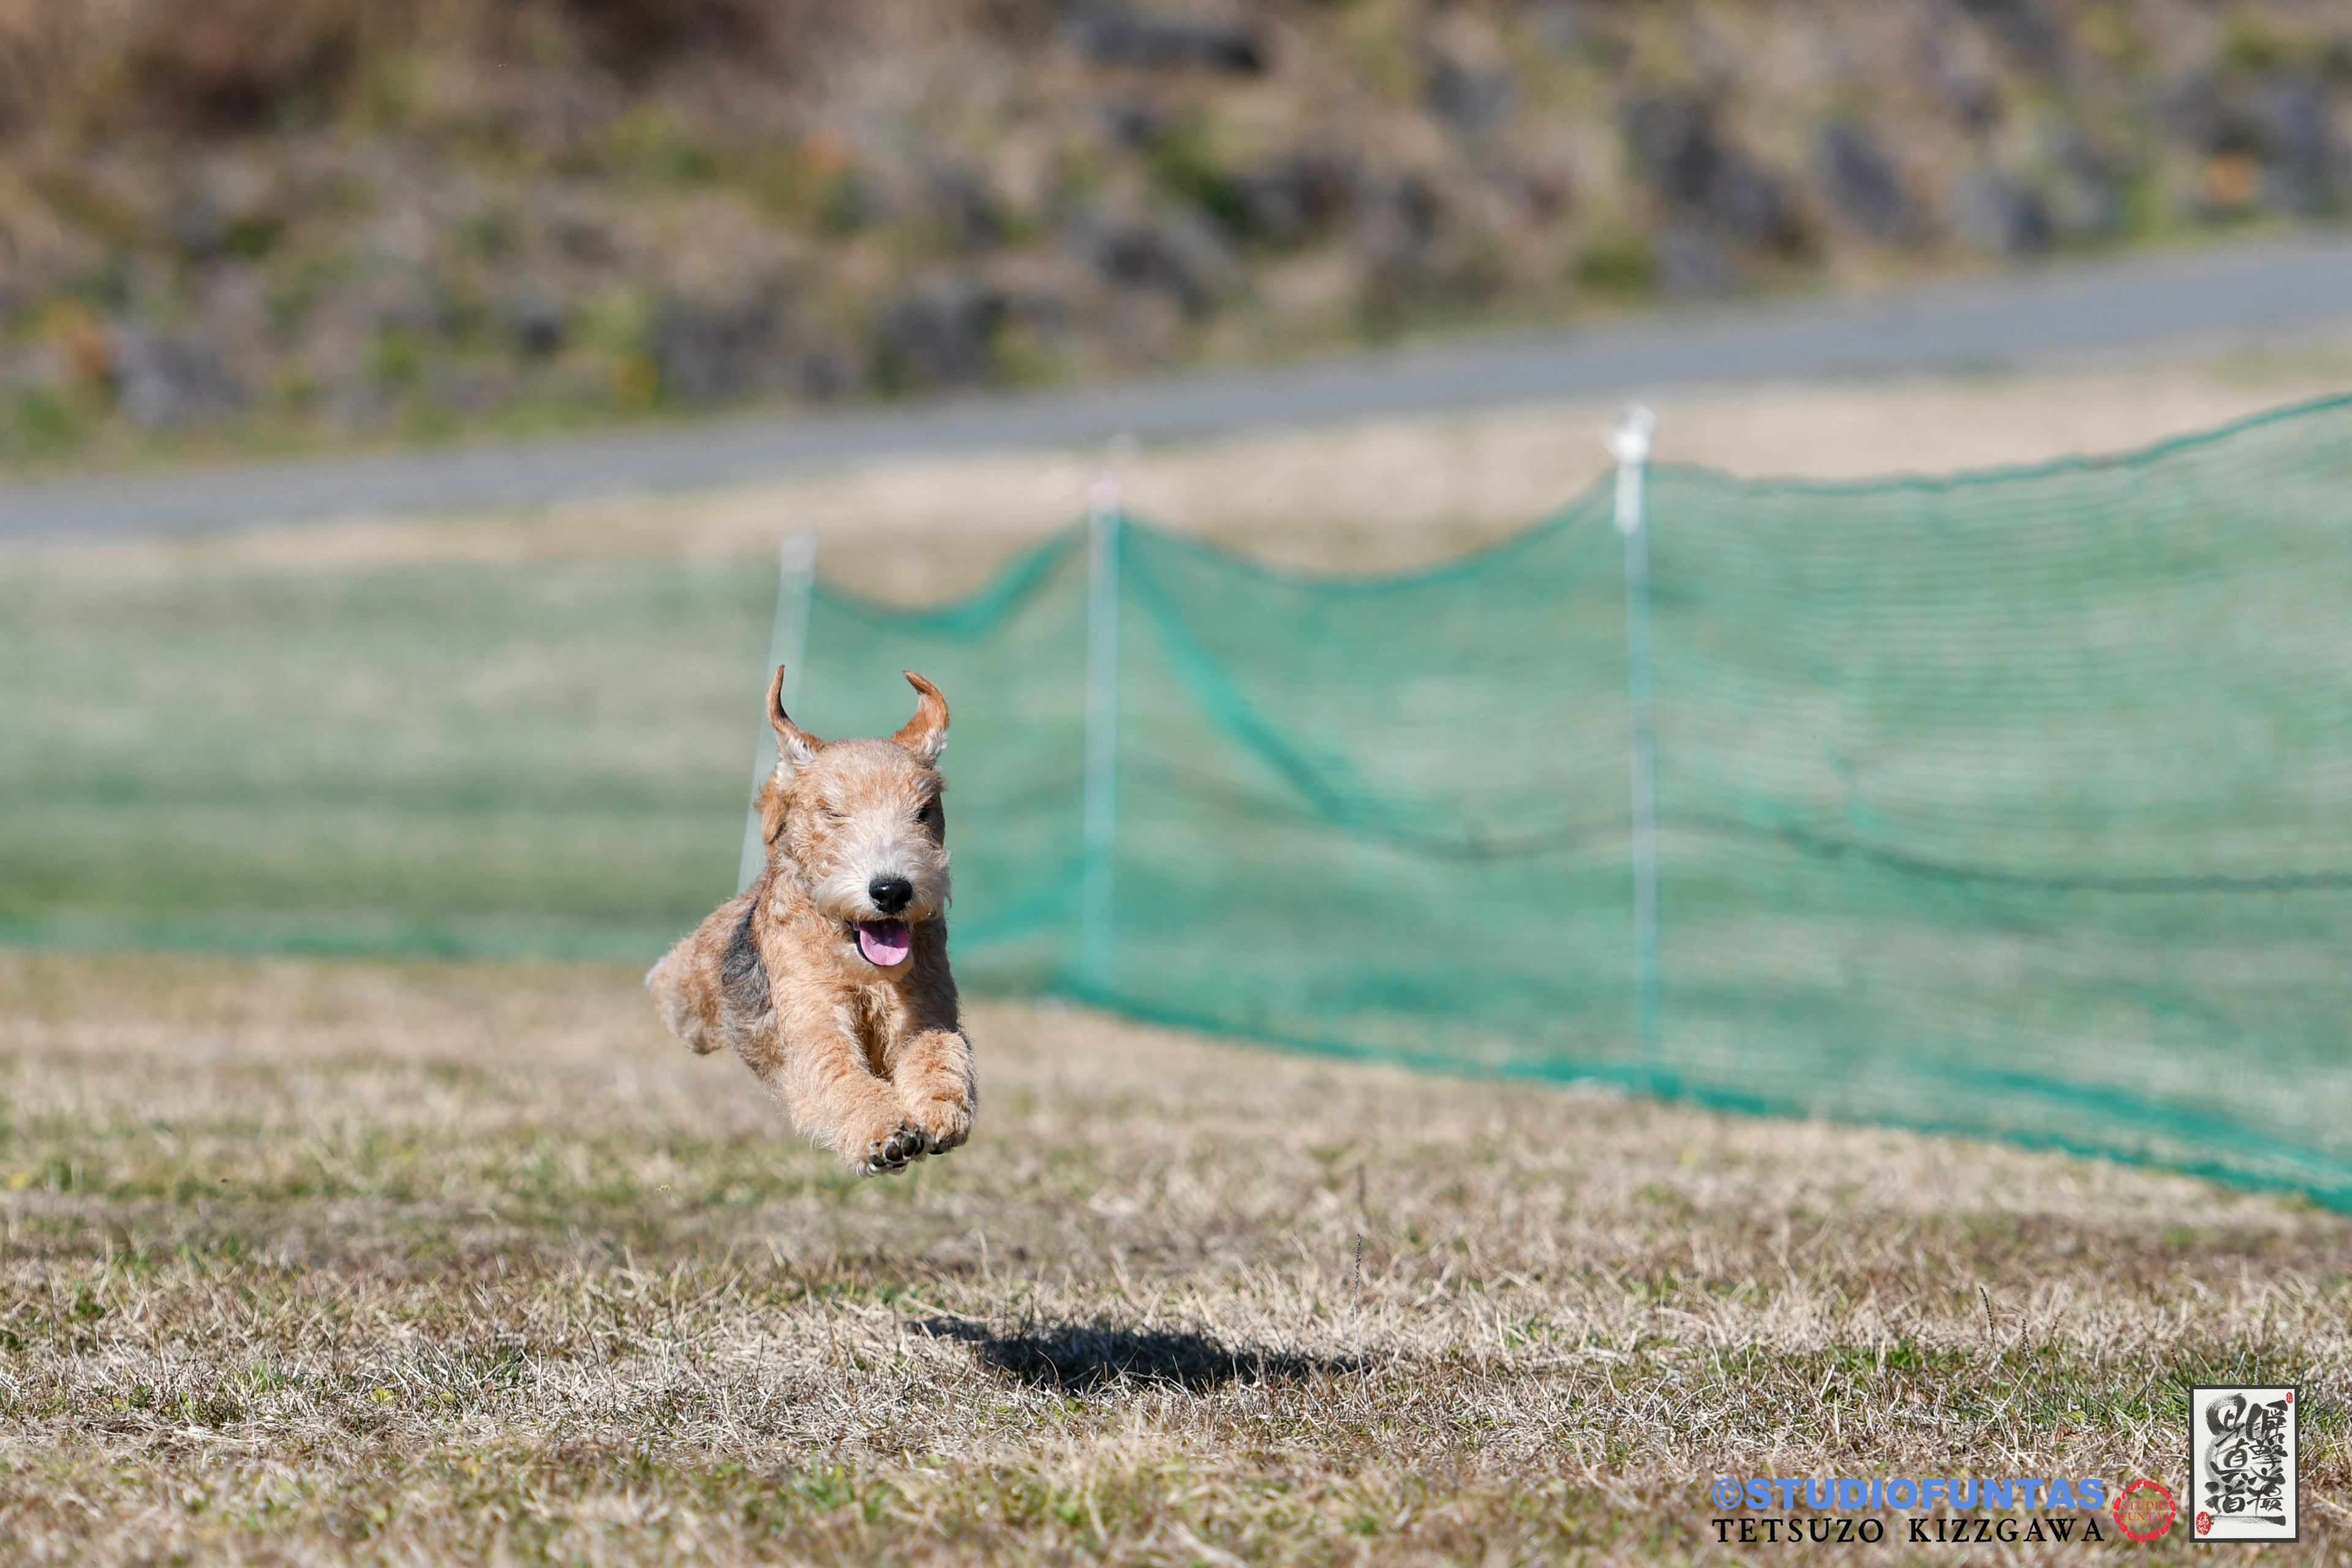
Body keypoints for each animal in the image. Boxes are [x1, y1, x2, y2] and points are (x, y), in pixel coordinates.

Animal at [646, 665, 976, 1176]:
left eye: (923, 811)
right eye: (833, 812)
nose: (891, 890)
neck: (864, 974)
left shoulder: (926, 1010)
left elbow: (939, 1054)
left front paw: (942, 1113)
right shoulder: (816, 1020)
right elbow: (840, 1076)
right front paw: (888, 1135)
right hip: (695, 992)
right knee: (675, 986)